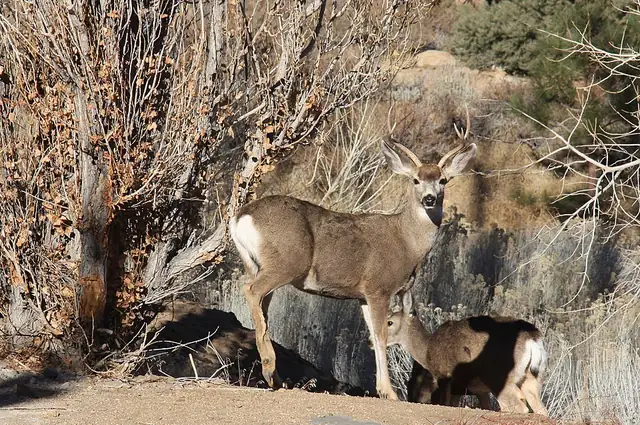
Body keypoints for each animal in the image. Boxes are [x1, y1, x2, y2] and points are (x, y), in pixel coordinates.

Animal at [229, 128, 477, 399]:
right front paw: (390, 393)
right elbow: (381, 335)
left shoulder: (363, 296)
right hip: (286, 262)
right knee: (251, 290)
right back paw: (269, 367)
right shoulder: (379, 287)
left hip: (256, 264)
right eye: (415, 180)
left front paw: (382, 389)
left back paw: (278, 377)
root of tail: (240, 217)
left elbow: (373, 336)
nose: (430, 199)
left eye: (443, 180)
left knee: (260, 303)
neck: (407, 242)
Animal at [386, 292, 548, 414]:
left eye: (390, 322)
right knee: (540, 409)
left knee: (518, 407)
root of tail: (532, 339)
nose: (377, 340)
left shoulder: (445, 377)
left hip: (498, 377)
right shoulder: (478, 390)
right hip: (532, 378)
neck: (427, 349)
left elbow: (445, 404)